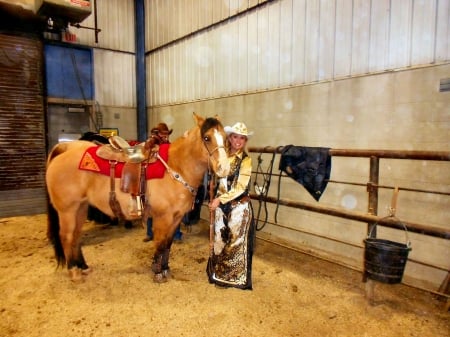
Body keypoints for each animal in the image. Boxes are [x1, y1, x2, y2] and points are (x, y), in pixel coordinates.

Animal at [45, 113, 230, 280]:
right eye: (206, 137)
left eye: (225, 138)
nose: (224, 167)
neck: (176, 167)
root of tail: (65, 149)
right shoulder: (164, 217)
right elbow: (160, 243)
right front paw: (157, 272)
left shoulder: (176, 218)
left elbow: (168, 244)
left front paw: (165, 269)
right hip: (67, 210)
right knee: (67, 236)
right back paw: (74, 271)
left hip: (81, 208)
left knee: (76, 236)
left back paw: (83, 267)